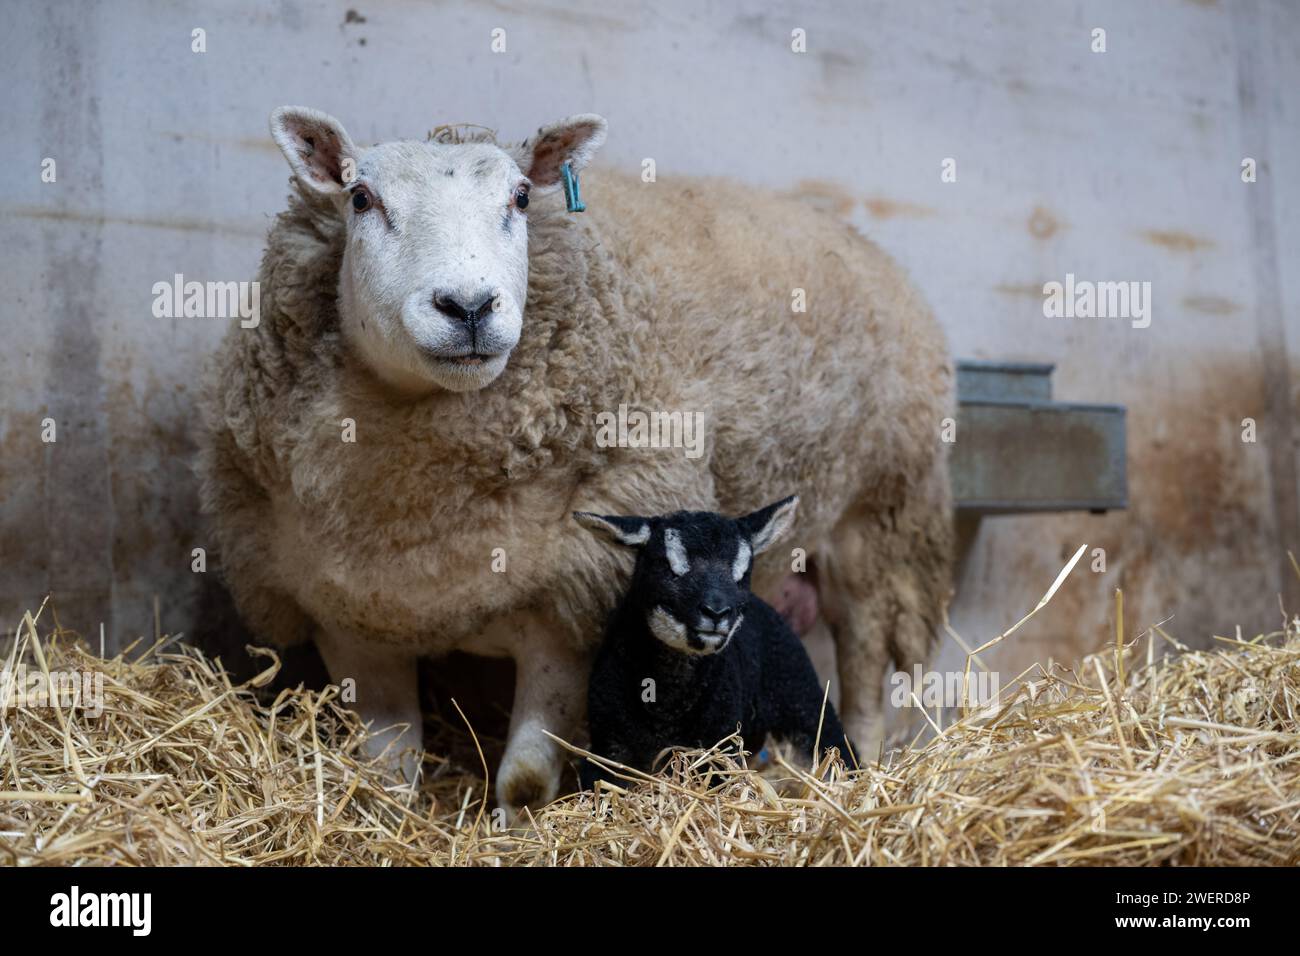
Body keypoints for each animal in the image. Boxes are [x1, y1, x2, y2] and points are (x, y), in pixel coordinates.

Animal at [574, 496, 857, 790]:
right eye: (668, 567)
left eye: (742, 574)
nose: (716, 611)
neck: (667, 705)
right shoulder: (607, 745)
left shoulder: (719, 746)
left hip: (800, 693)